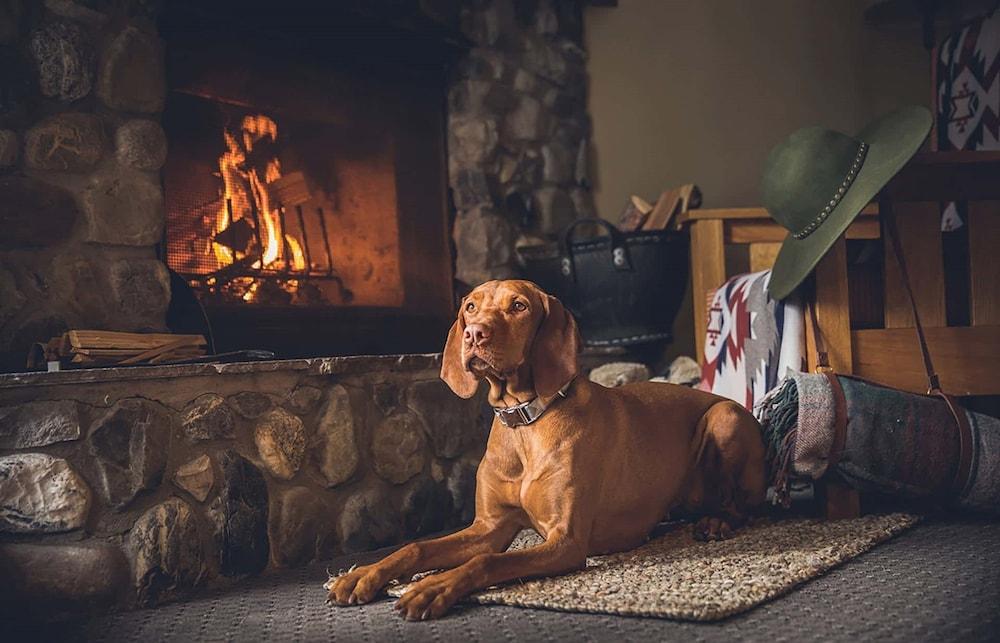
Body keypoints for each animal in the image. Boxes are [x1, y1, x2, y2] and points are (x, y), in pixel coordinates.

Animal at [328, 280, 764, 620]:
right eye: (470, 307)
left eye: (519, 306)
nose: (474, 334)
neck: (525, 422)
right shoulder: (488, 528)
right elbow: (418, 546)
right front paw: (362, 573)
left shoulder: (565, 541)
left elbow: (485, 561)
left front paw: (434, 586)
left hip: (724, 417)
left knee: (745, 503)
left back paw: (716, 522)